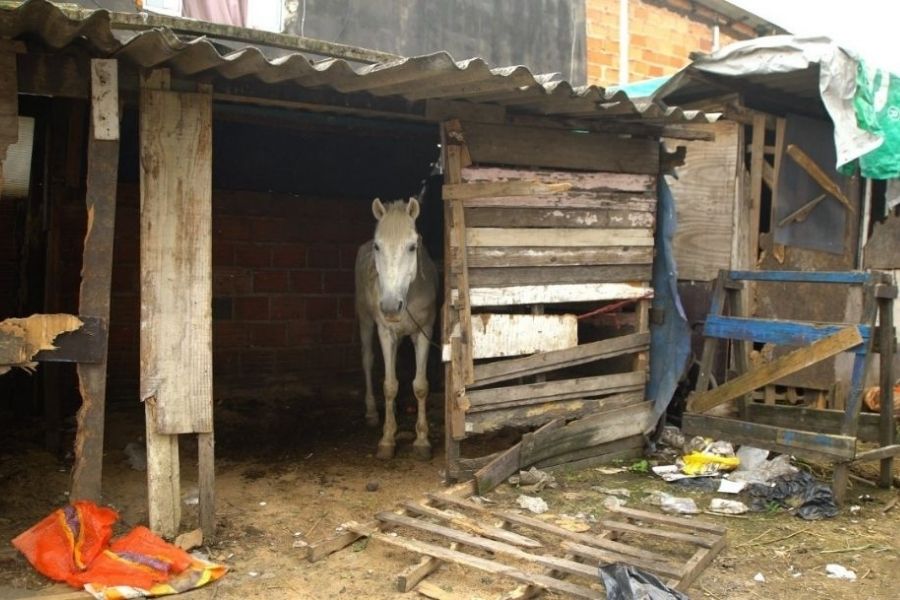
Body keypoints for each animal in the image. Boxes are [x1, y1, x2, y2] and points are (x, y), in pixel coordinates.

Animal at [354, 197, 438, 460]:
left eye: (412, 247)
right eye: (378, 247)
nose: (391, 306)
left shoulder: (425, 331)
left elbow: (420, 386)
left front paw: (422, 441)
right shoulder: (385, 332)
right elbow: (389, 386)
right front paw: (387, 439)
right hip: (365, 320)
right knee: (367, 360)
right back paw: (372, 412)